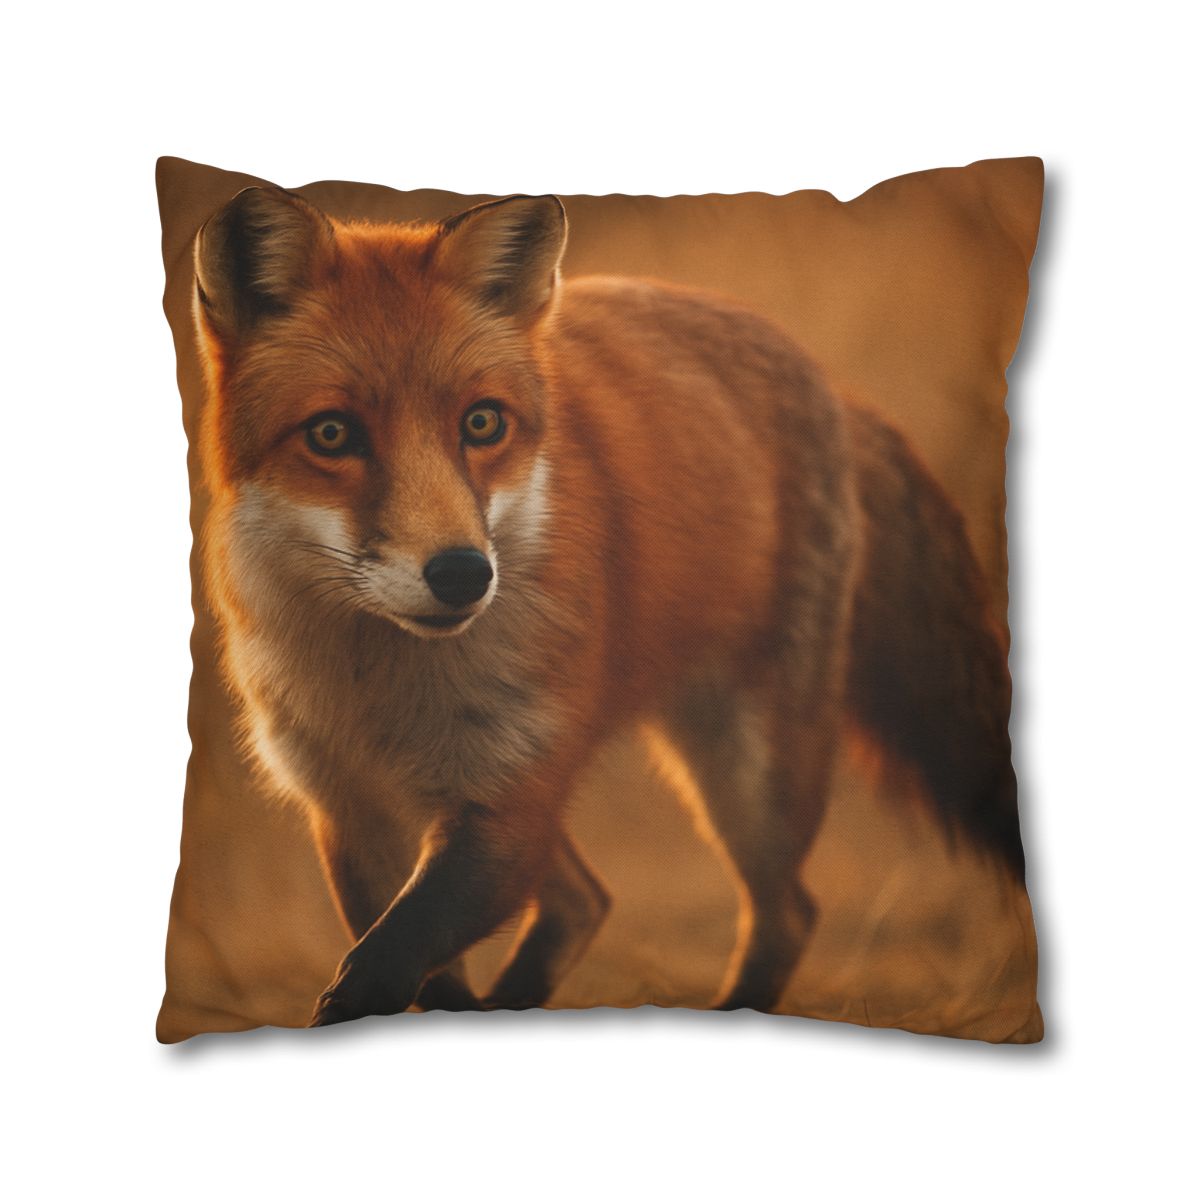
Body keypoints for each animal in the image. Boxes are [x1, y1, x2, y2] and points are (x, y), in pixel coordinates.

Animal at [191, 185, 1024, 1027]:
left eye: (482, 422)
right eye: (331, 434)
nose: (462, 575)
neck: (385, 689)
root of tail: (832, 383)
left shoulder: (509, 799)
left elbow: (384, 963)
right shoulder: (354, 813)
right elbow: (412, 974)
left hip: (745, 773)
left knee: (783, 911)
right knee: (585, 900)